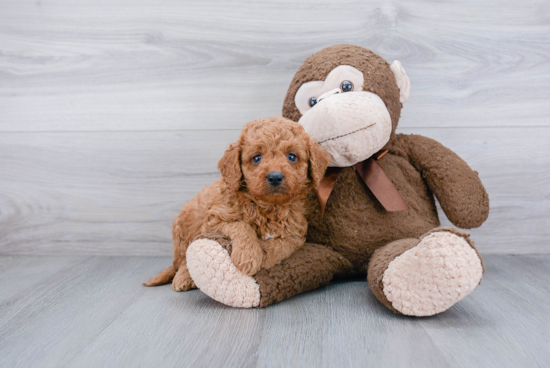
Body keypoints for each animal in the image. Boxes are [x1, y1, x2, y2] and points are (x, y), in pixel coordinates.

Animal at [143, 116, 332, 292]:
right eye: (257, 158)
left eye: (292, 156)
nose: (275, 177)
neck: (268, 206)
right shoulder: (214, 220)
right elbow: (241, 225)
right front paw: (249, 256)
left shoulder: (295, 232)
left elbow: (282, 245)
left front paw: (264, 254)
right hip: (184, 231)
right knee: (183, 259)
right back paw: (183, 277)